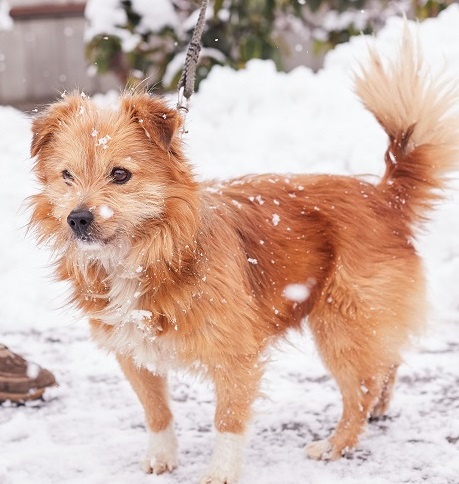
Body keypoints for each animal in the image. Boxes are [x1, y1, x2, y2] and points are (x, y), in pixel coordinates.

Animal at [28, 31, 459, 484]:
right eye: (67, 176)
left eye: (120, 175)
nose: (78, 218)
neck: (149, 252)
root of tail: (383, 197)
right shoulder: (133, 350)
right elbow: (156, 410)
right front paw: (162, 456)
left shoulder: (235, 353)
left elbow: (228, 420)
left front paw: (222, 470)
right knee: (383, 363)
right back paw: (379, 407)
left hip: (341, 321)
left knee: (360, 389)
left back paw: (337, 443)